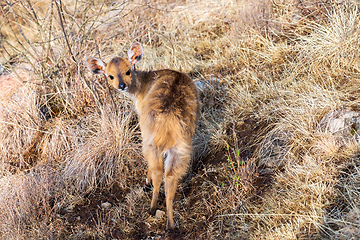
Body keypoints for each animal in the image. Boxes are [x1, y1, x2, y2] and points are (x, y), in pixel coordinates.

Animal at [86, 41, 201, 231]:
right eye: (110, 76)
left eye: (128, 71)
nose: (121, 86)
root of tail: (168, 123)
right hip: (181, 149)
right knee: (170, 179)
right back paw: (170, 225)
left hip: (150, 144)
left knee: (158, 173)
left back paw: (152, 207)